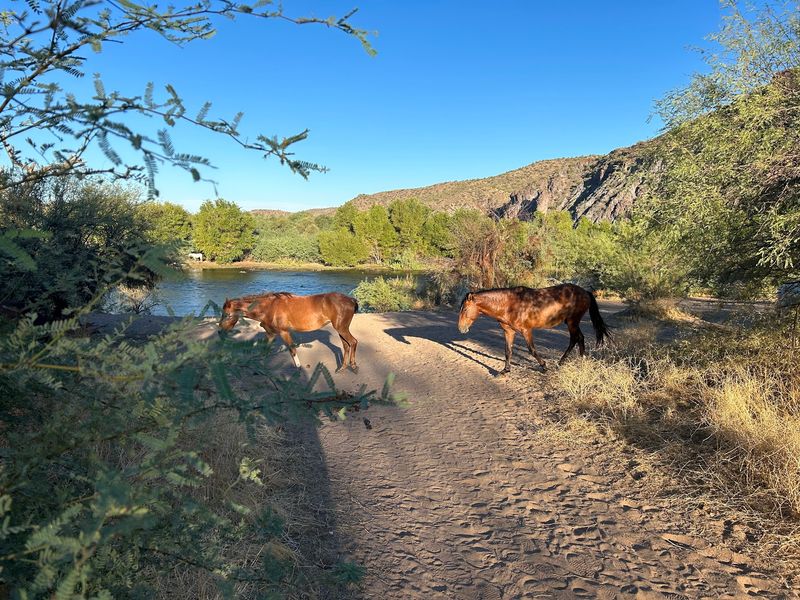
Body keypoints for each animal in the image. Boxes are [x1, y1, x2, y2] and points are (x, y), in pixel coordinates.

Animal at [219, 292, 359, 372]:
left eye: (226, 315)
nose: (220, 331)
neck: (270, 307)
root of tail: (351, 300)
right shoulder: (271, 334)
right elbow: (265, 350)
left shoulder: (284, 332)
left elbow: (292, 350)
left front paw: (298, 367)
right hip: (341, 330)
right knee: (346, 345)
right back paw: (342, 367)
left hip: (342, 328)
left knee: (353, 342)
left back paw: (353, 366)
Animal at [457, 283, 610, 374]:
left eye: (464, 309)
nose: (461, 328)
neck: (509, 305)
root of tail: (585, 292)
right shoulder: (508, 331)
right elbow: (508, 351)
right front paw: (505, 370)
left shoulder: (526, 331)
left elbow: (532, 350)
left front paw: (544, 366)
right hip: (571, 322)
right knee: (577, 339)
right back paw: (573, 362)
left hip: (572, 322)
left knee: (576, 339)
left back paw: (570, 362)